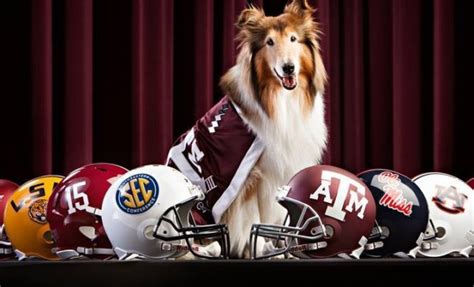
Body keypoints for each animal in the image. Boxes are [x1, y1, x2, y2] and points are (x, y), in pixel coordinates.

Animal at [168, 0, 328, 260]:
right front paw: (257, 249)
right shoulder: (251, 179)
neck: (279, 99)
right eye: (269, 42)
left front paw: (280, 249)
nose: (288, 68)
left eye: (293, 39)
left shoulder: (279, 172)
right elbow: (253, 219)